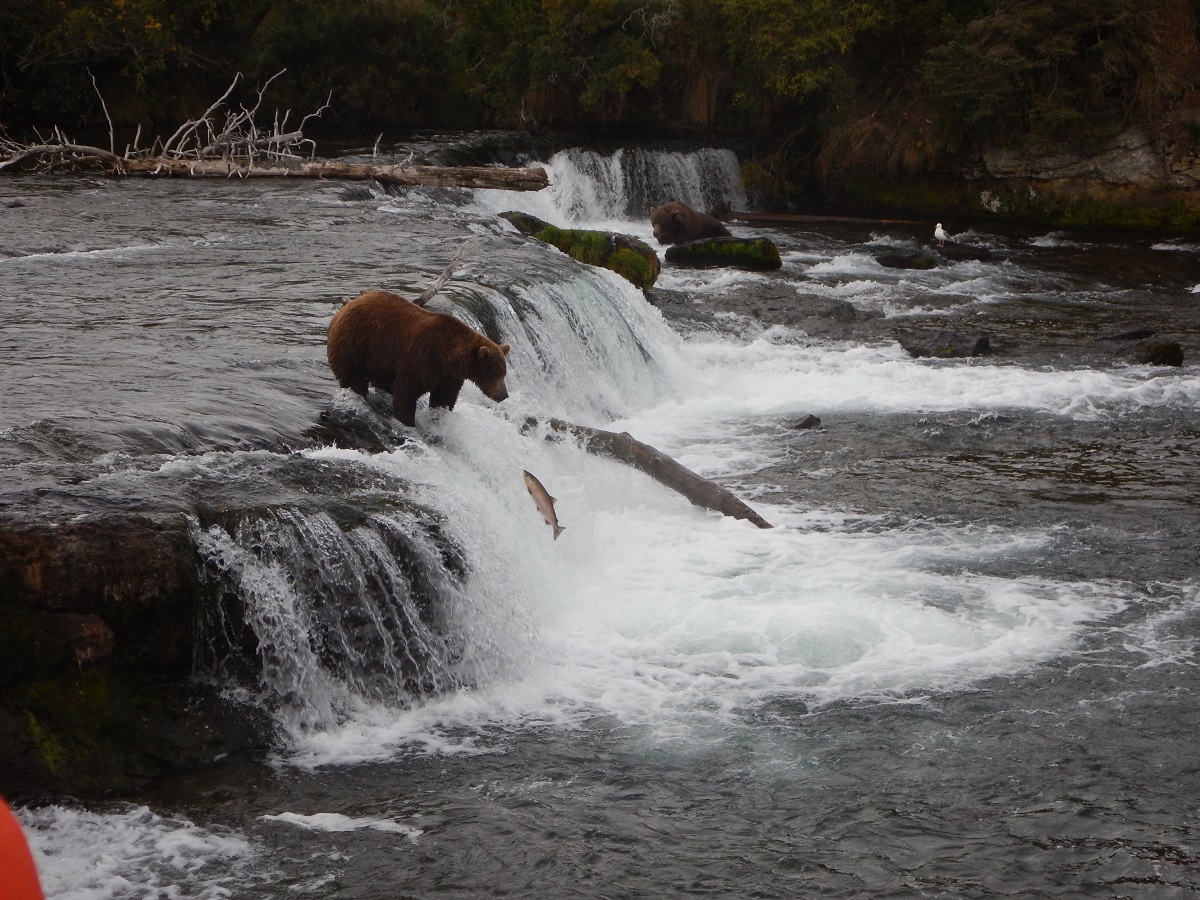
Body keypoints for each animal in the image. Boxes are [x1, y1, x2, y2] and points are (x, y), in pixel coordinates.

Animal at [327, 289, 511, 427]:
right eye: (494, 373)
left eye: (503, 373)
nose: (504, 395)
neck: (448, 357)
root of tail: (345, 307)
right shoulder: (420, 359)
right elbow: (405, 392)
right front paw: (407, 421)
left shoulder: (449, 377)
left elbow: (444, 397)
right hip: (355, 345)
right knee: (354, 377)